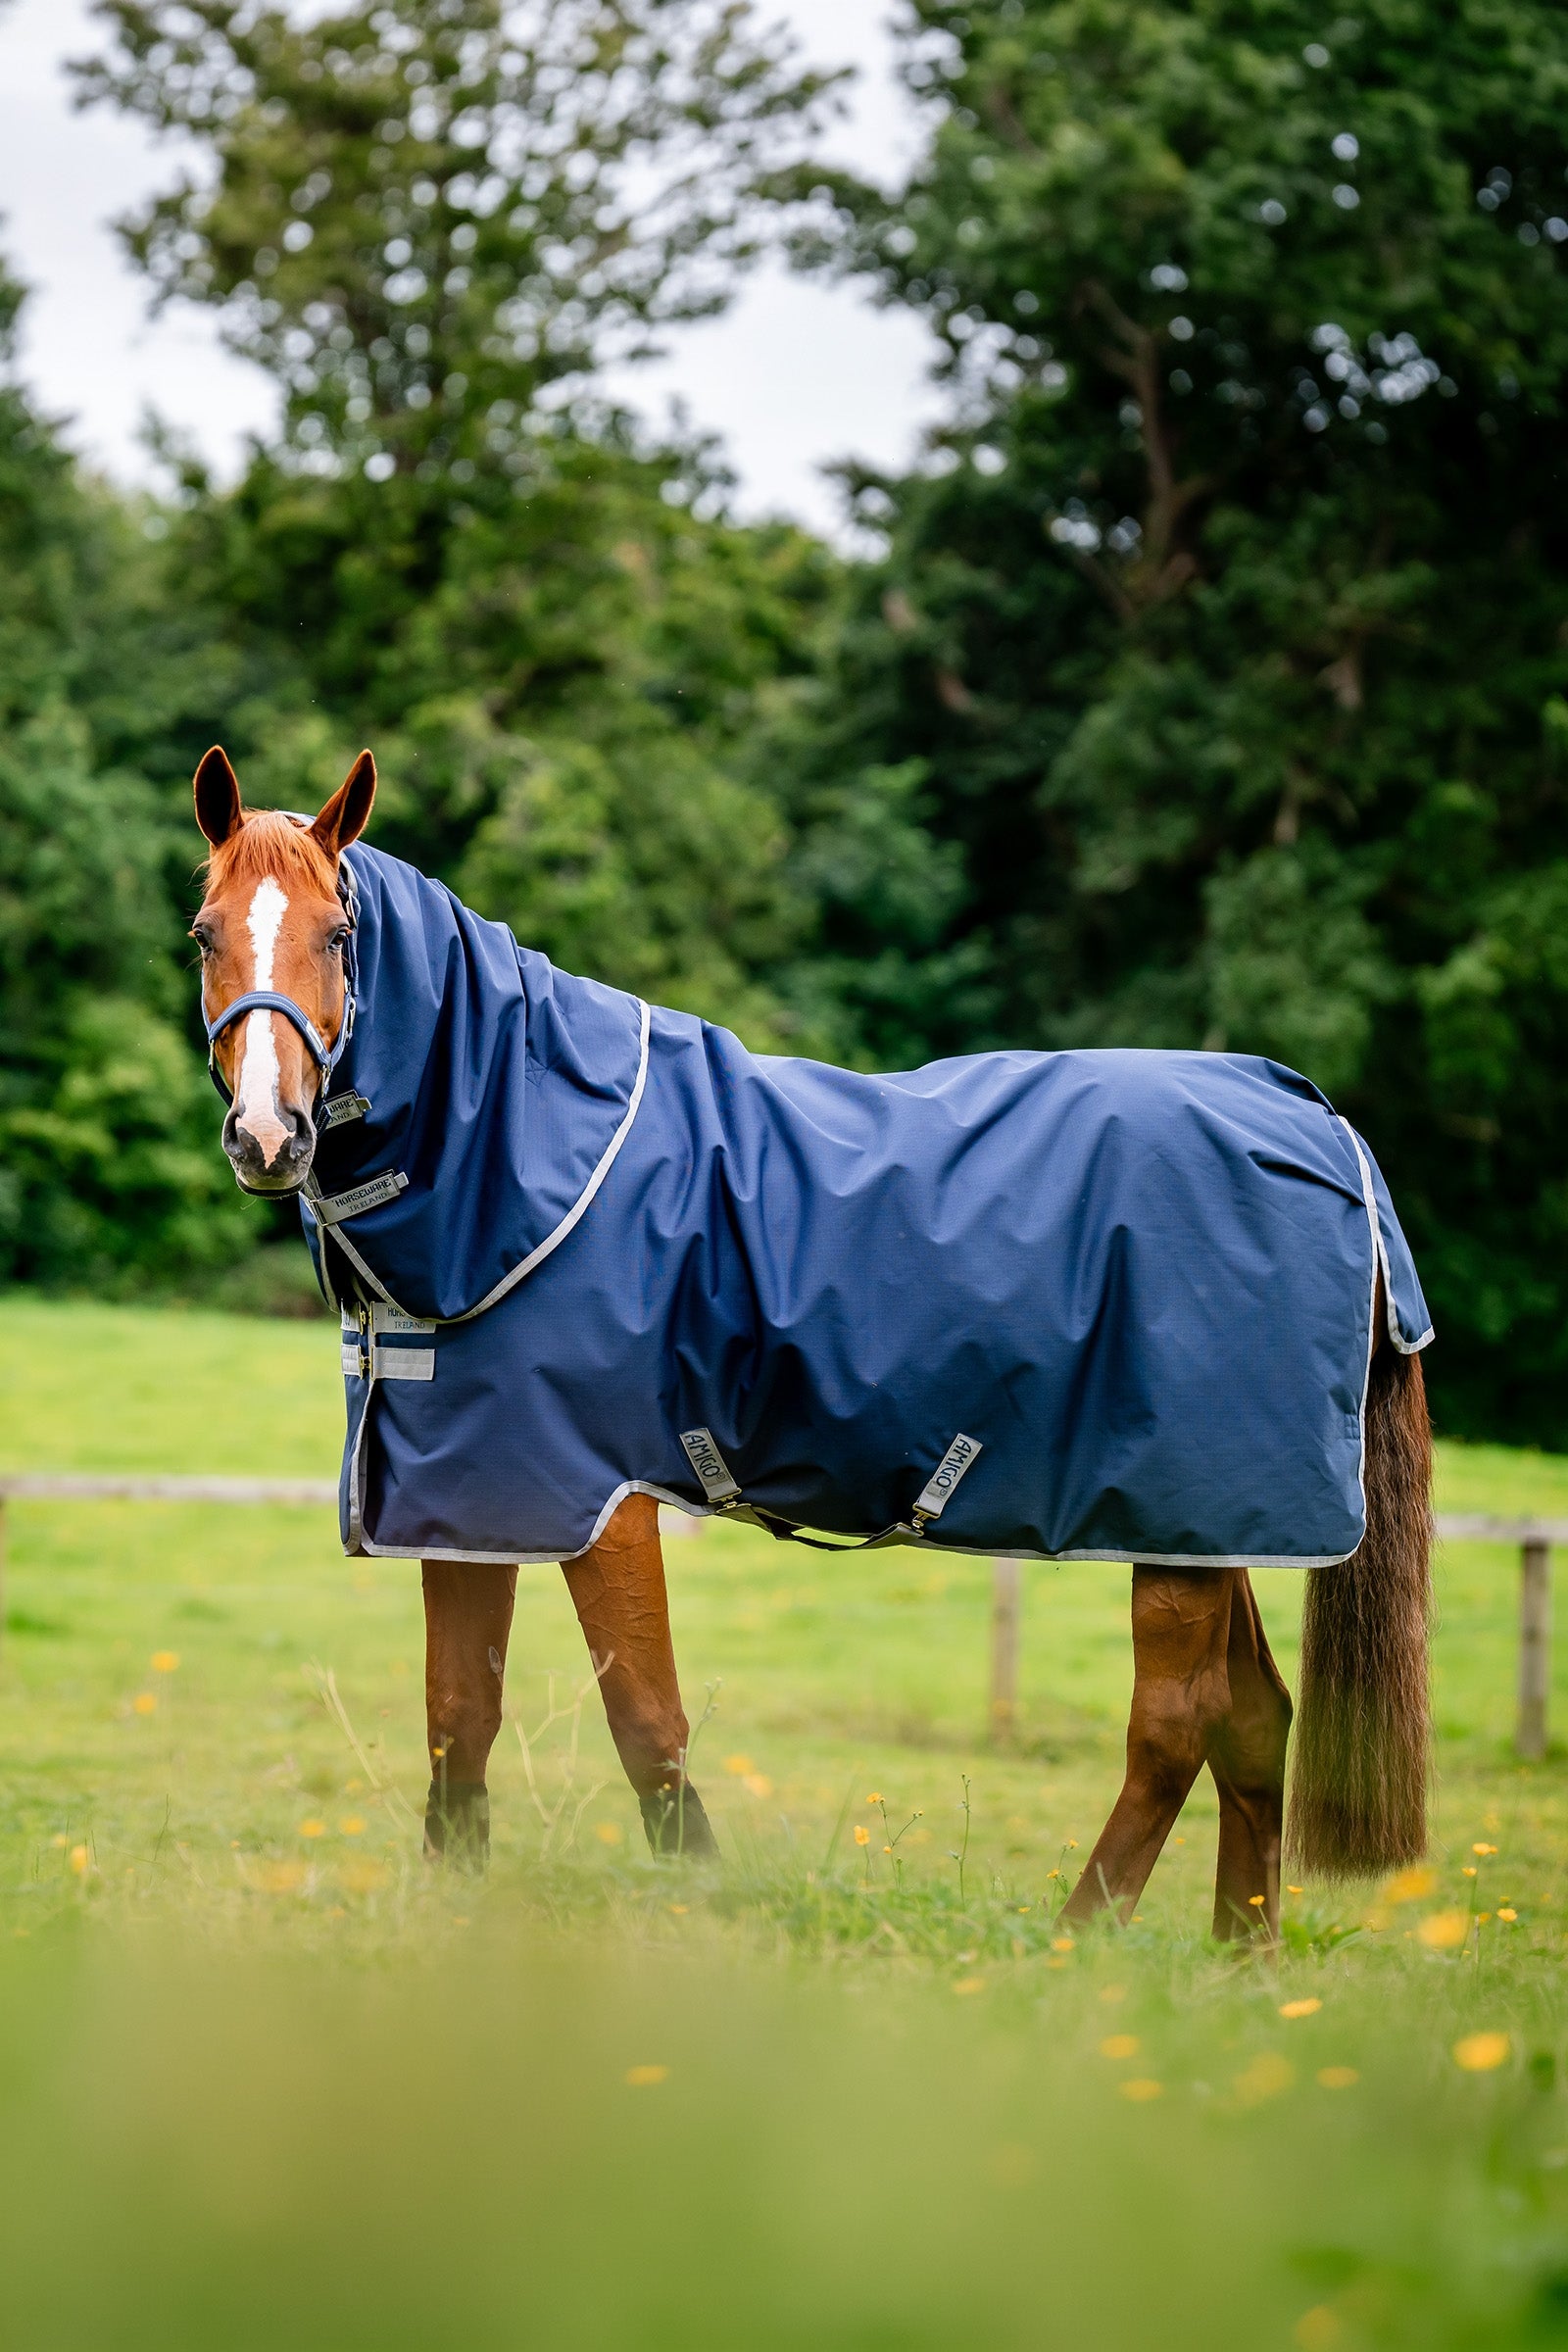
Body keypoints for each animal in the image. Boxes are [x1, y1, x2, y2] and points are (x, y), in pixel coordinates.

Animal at [191, 745, 1433, 1937]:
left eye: (340, 934)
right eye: (206, 932)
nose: (268, 1135)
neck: (528, 1154)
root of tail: (1315, 1120)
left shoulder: (602, 1500)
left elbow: (647, 1724)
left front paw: (699, 1908)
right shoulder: (468, 1496)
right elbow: (460, 1718)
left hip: (1178, 1525)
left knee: (1173, 1726)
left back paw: (1077, 1941)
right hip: (1213, 1532)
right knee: (1253, 1719)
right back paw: (1242, 1959)